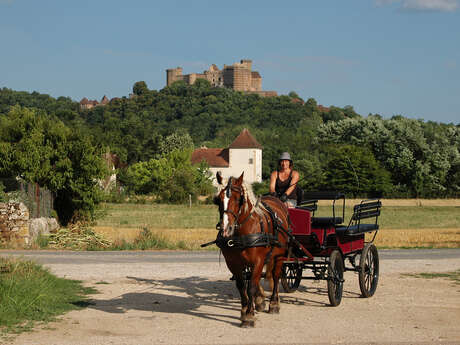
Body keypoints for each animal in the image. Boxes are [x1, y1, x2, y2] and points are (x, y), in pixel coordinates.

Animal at [214, 171, 290, 326]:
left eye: (239, 199)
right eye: (218, 200)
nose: (226, 230)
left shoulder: (258, 261)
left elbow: (251, 288)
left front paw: (249, 315)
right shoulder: (233, 263)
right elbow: (241, 286)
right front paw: (244, 310)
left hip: (279, 256)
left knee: (276, 276)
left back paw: (274, 303)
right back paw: (260, 300)